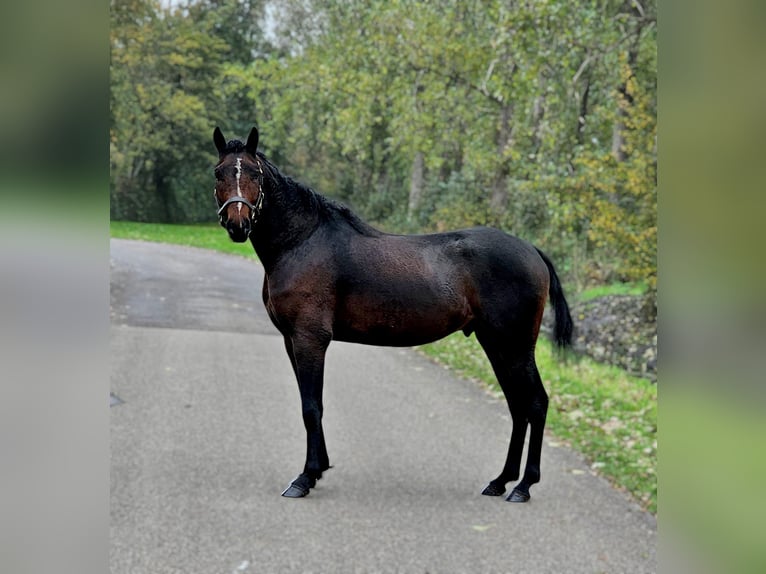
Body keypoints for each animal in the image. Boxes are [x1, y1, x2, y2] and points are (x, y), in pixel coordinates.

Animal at [211, 126, 573, 502]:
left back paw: (524, 485)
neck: (302, 242)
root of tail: (532, 250)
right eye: (219, 172)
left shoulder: (310, 339)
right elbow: (310, 404)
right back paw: (501, 480)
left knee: (536, 403)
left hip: (516, 347)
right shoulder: (291, 340)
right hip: (497, 345)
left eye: (254, 174)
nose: (238, 224)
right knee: (518, 407)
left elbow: (311, 407)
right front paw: (320, 468)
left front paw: (305, 477)